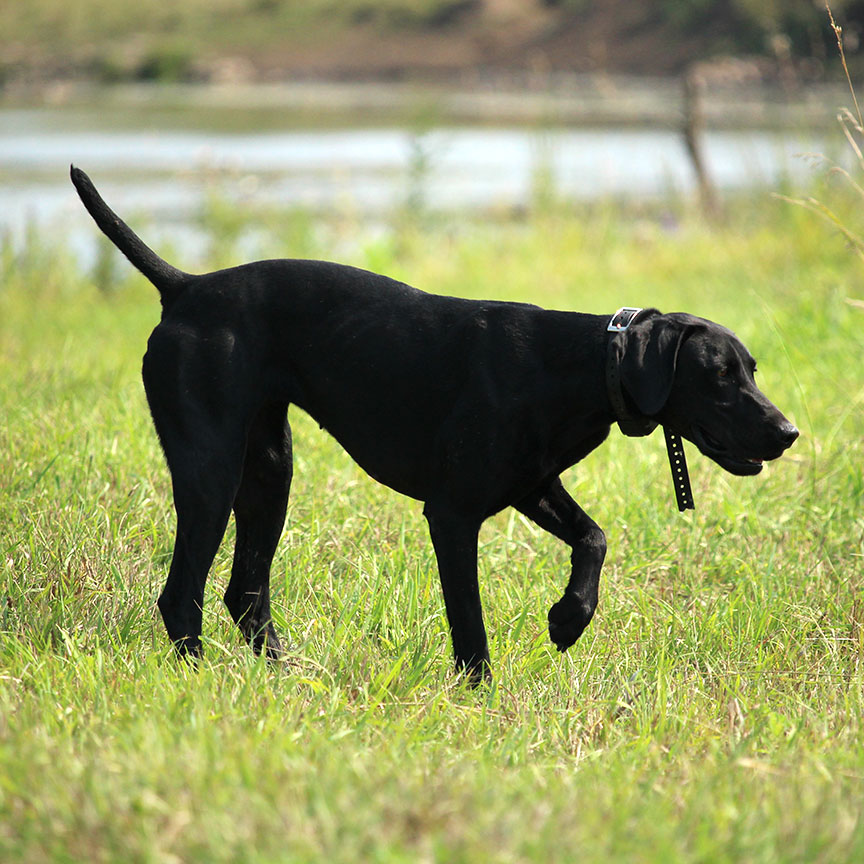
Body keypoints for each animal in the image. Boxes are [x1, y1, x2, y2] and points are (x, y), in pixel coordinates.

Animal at [71, 167, 800, 680]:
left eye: (751, 369)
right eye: (719, 374)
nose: (789, 432)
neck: (579, 364)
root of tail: (186, 287)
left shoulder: (531, 486)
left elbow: (594, 538)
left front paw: (568, 619)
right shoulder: (452, 516)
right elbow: (469, 623)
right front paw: (482, 693)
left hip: (268, 473)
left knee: (245, 593)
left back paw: (288, 677)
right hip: (211, 472)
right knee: (181, 595)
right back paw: (207, 683)